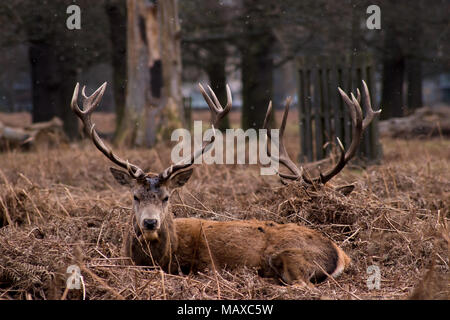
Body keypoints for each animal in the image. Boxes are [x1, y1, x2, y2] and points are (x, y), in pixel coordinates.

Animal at [70, 81, 380, 284]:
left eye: (167, 197)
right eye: (134, 196)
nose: (149, 223)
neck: (164, 256)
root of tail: (340, 254)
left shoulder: (206, 265)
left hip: (290, 255)